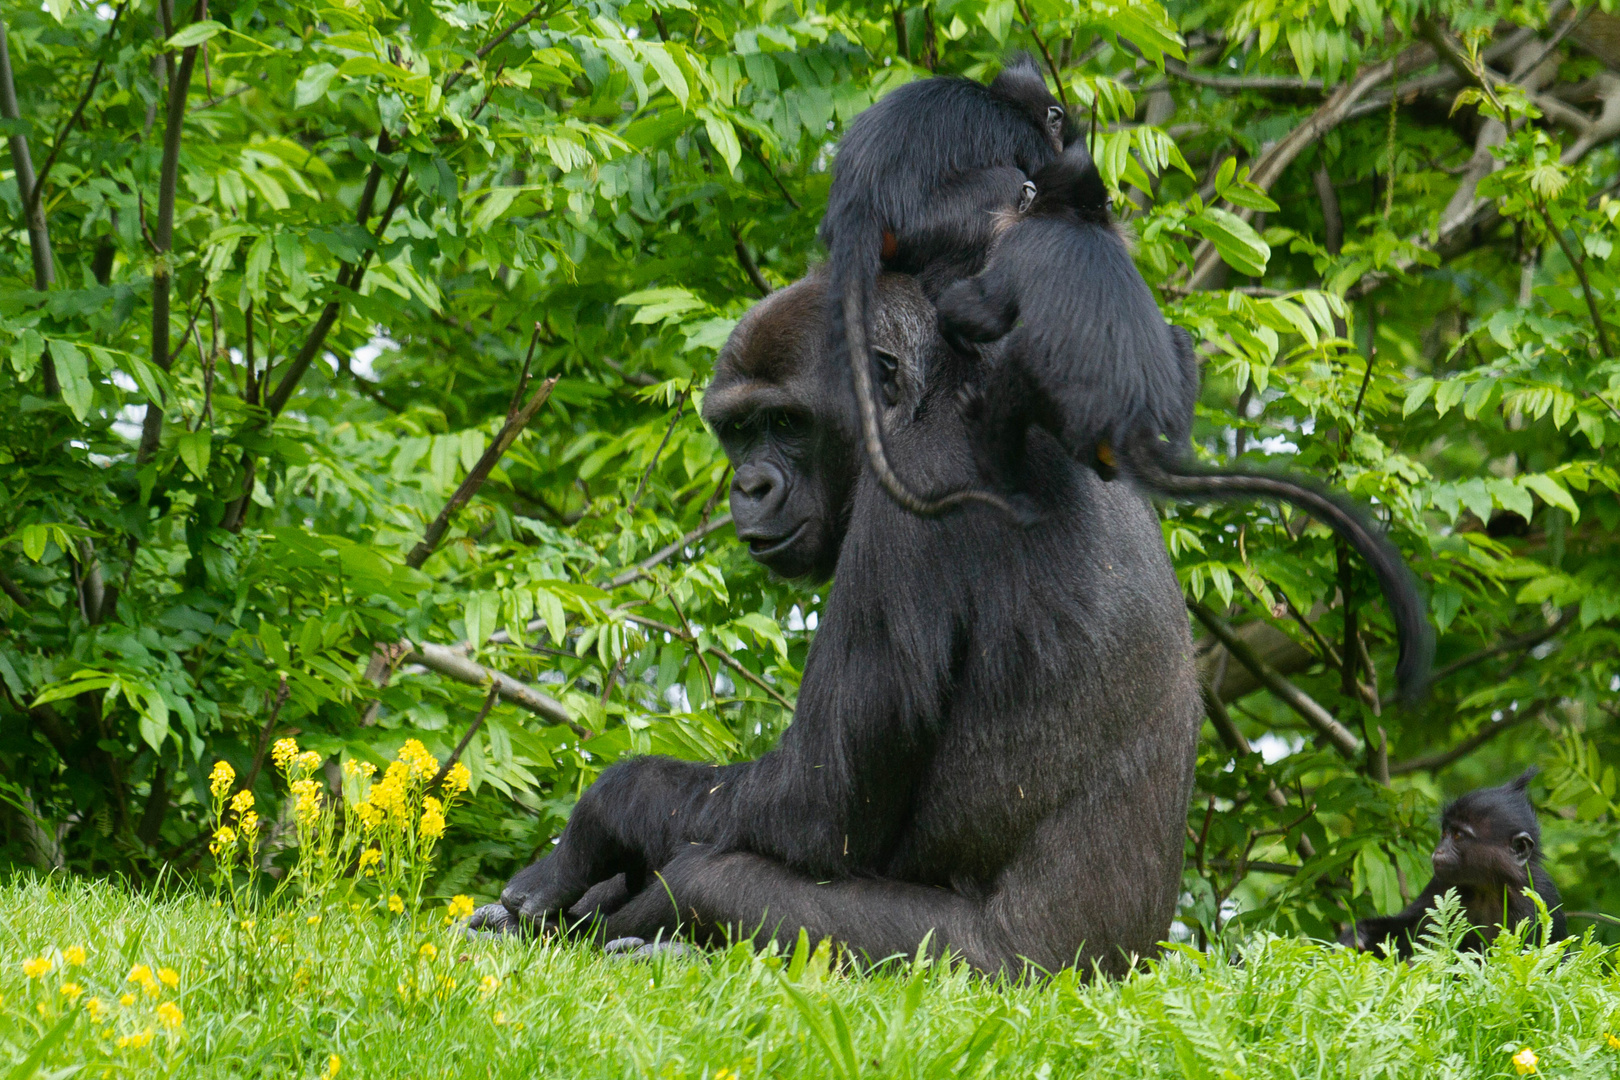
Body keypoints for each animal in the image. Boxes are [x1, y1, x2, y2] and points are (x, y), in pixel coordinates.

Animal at [469, 272, 1205, 977]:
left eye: (789, 422)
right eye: (741, 430)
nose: (750, 487)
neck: (937, 391)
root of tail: (1132, 962)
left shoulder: (917, 482)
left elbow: (819, 804)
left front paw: (596, 821)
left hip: (994, 970)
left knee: (713, 876)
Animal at [1334, 773, 1561, 958]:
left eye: (1458, 836)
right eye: (1444, 833)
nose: (1439, 851)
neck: (1489, 887)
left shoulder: (1534, 897)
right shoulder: (1442, 883)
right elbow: (1410, 930)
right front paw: (1359, 936)